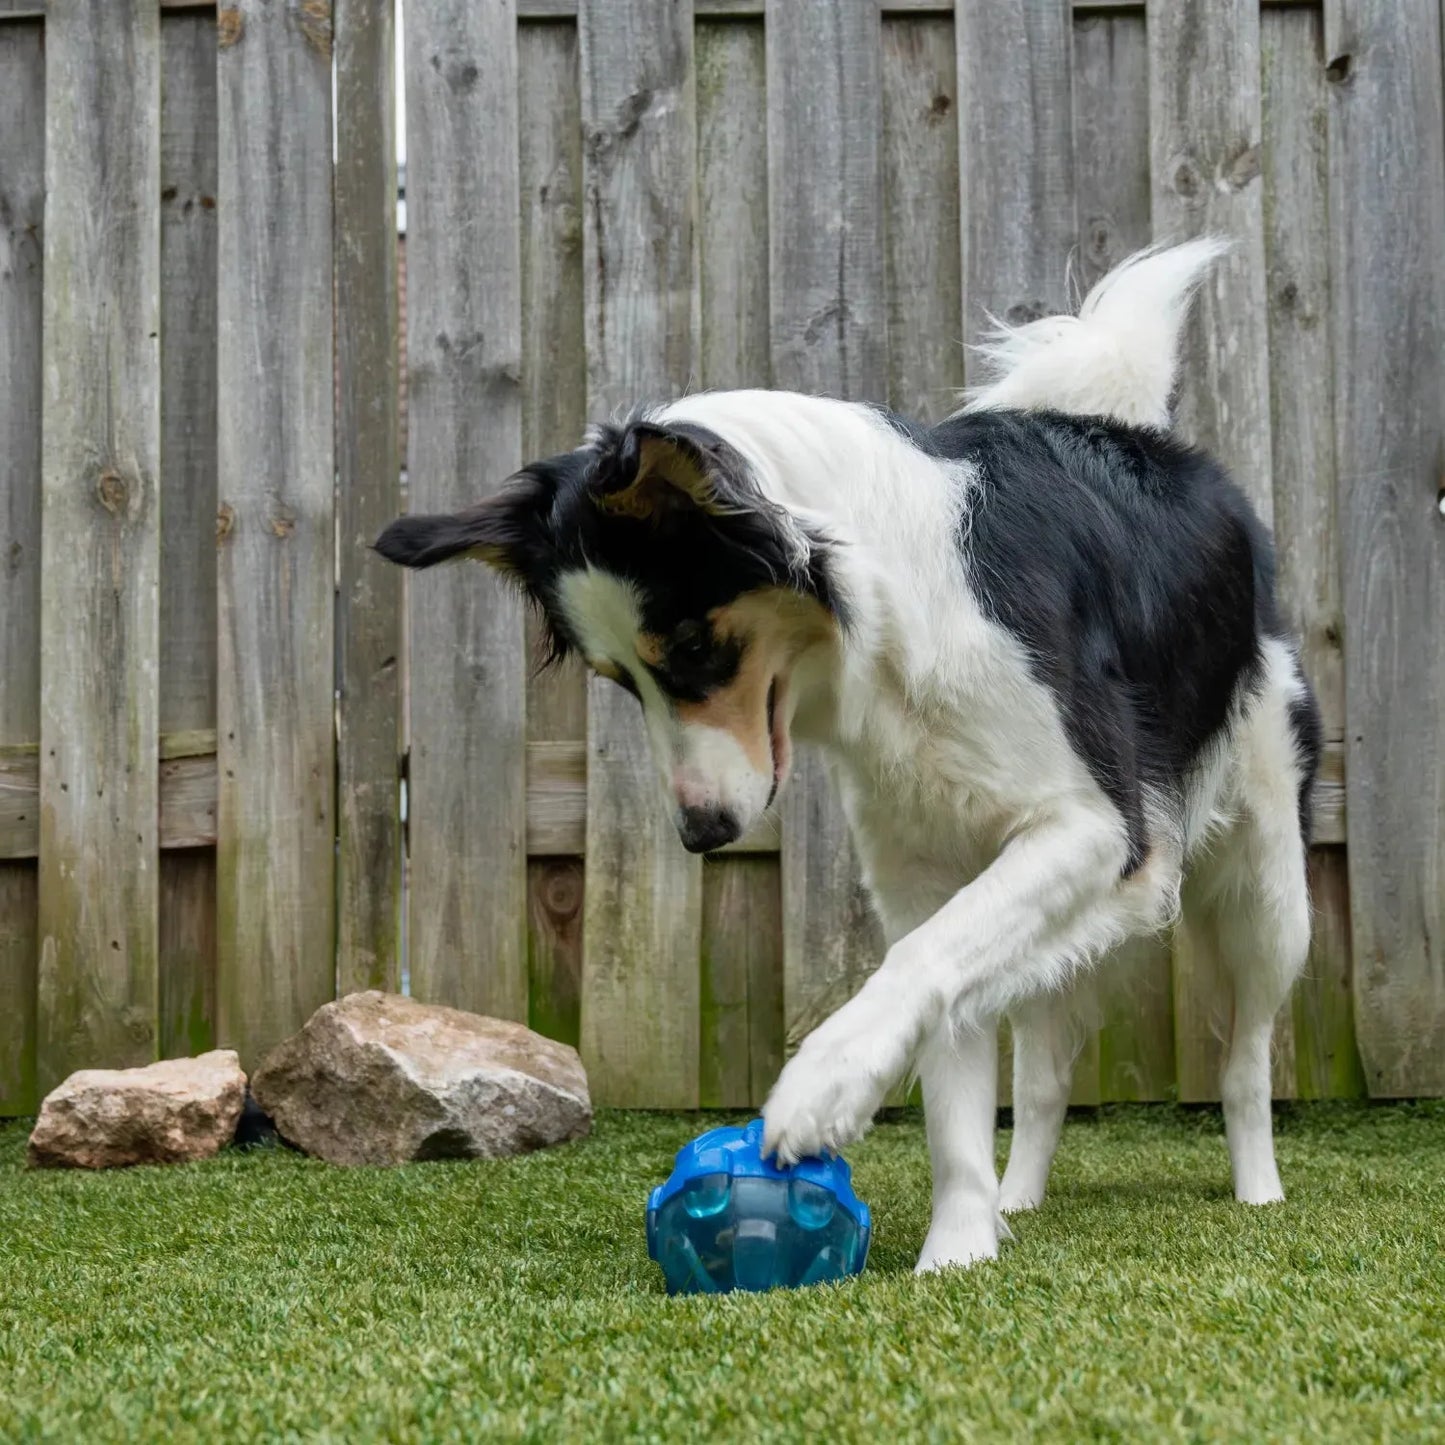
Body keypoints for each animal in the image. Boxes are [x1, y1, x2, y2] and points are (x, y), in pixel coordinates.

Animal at [375, 242, 1323, 1271]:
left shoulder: (1099, 827)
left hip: (1266, 892)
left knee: (1244, 1058)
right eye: (619, 679)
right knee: (1041, 1070)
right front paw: (957, 1249)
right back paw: (1019, 1197)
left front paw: (818, 1090)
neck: (894, 608)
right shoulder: (929, 868)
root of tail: (1136, 433)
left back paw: (1260, 1193)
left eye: (693, 648)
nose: (700, 834)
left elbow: (918, 967)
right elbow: (946, 1031)